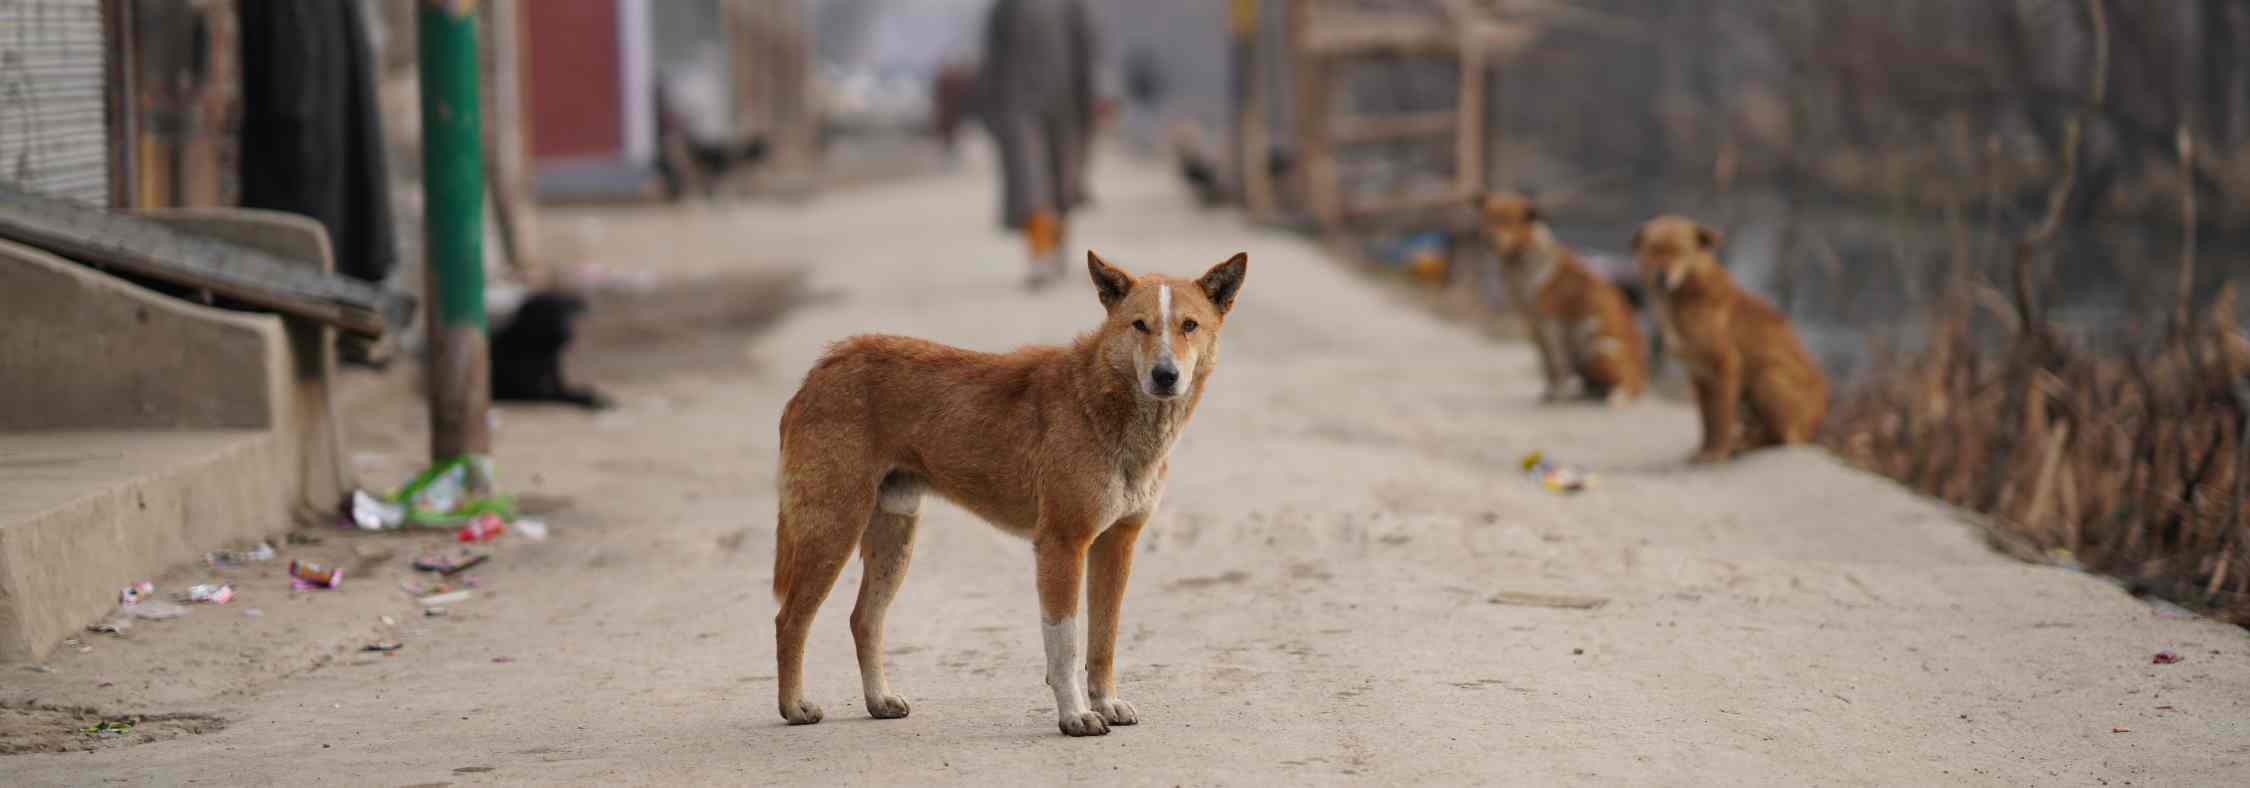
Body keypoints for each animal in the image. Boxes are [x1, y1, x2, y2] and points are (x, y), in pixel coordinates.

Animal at [765, 252, 1242, 738]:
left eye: (1189, 325)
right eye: (1139, 325)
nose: (1165, 376)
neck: (1105, 405)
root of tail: (821, 369)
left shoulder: (1117, 543)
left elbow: (1104, 638)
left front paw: (1105, 702)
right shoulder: (1062, 544)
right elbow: (1065, 646)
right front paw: (1075, 716)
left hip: (894, 538)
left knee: (863, 619)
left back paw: (879, 699)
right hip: (834, 528)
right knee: (790, 620)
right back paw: (795, 706)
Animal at [1476, 192, 1656, 405]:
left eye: (1508, 222)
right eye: (1488, 218)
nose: (1489, 238)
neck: (1525, 260)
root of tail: (1641, 372)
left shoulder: (1551, 326)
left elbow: (1557, 365)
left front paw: (1557, 394)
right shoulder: (1535, 326)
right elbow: (1547, 364)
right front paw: (1550, 391)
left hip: (1597, 351)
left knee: (1630, 385)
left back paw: (1616, 396)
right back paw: (1588, 393)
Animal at [1638, 215, 1827, 461]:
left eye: (1680, 251)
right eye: (1653, 249)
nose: (1661, 276)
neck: (1684, 295)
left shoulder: (1725, 366)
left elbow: (1720, 418)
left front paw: (1716, 453)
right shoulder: (1699, 375)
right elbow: (1707, 420)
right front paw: (1704, 450)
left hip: (1768, 378)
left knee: (1780, 438)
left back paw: (1744, 446)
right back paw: (1741, 443)